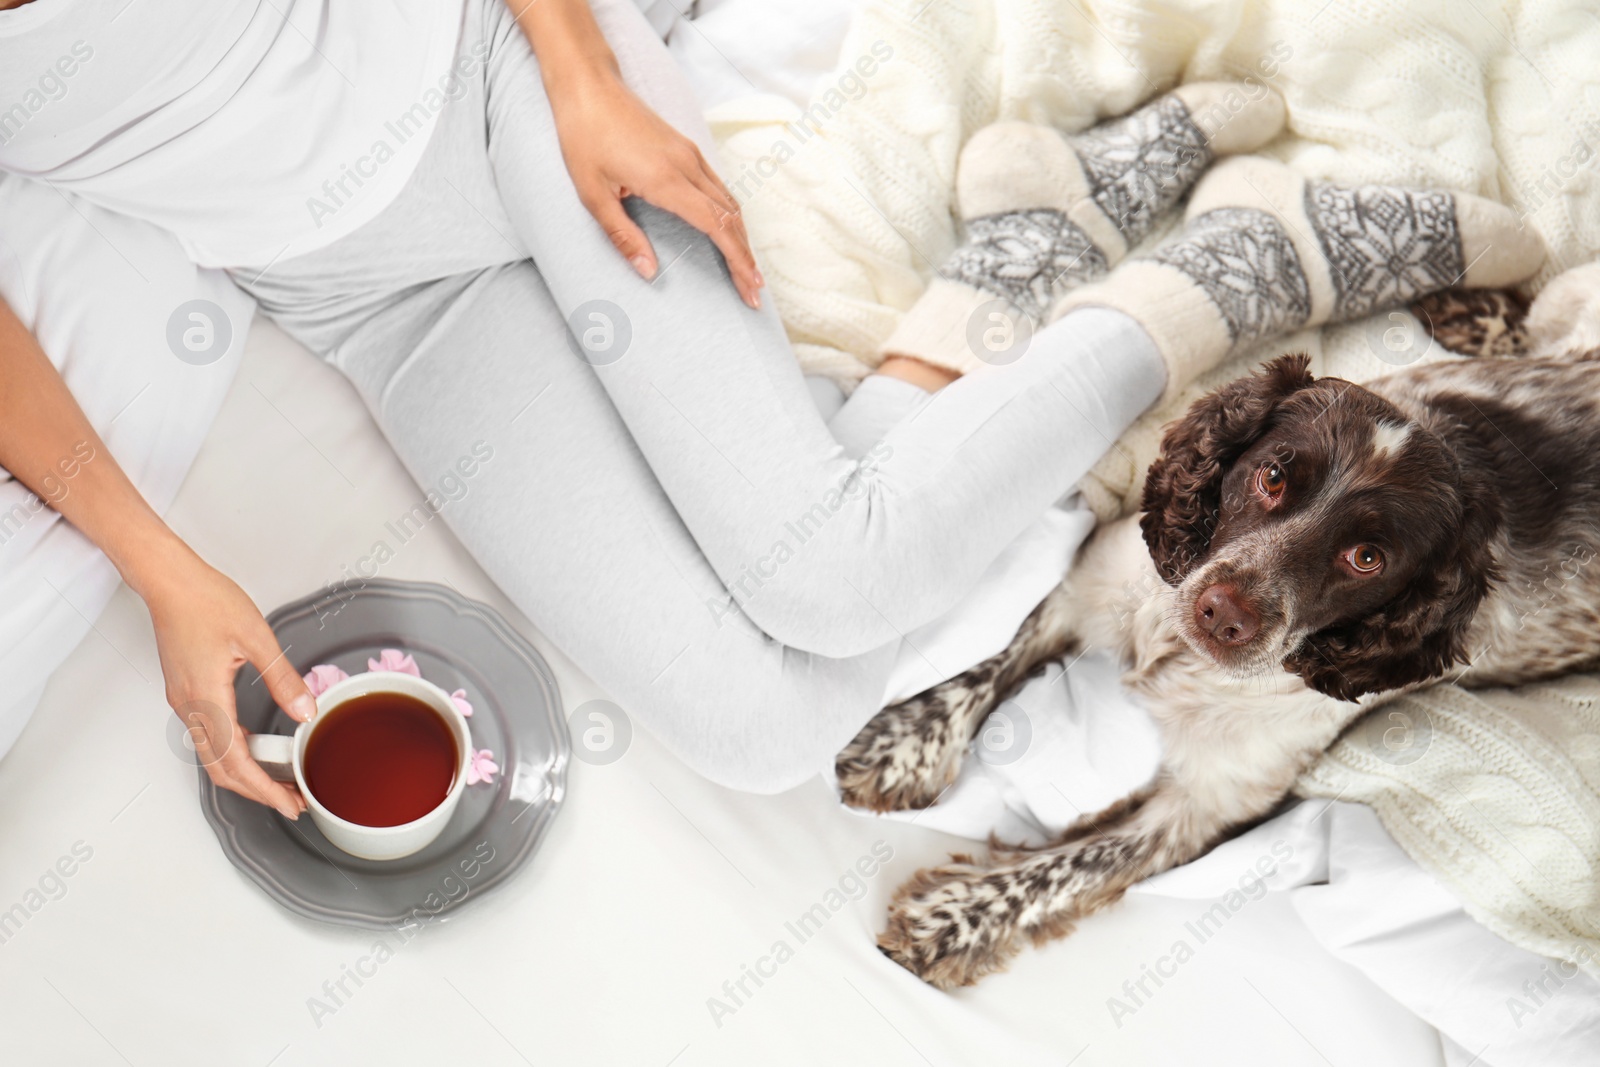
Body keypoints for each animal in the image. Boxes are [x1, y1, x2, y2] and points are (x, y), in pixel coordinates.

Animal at [832, 279, 1600, 991]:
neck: (1177, 655)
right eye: (1272, 474)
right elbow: (989, 660)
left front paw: (953, 918)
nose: (1224, 612)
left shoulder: (1209, 805)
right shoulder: (1092, 588)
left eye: (1367, 557)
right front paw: (903, 746)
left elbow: (1072, 866)